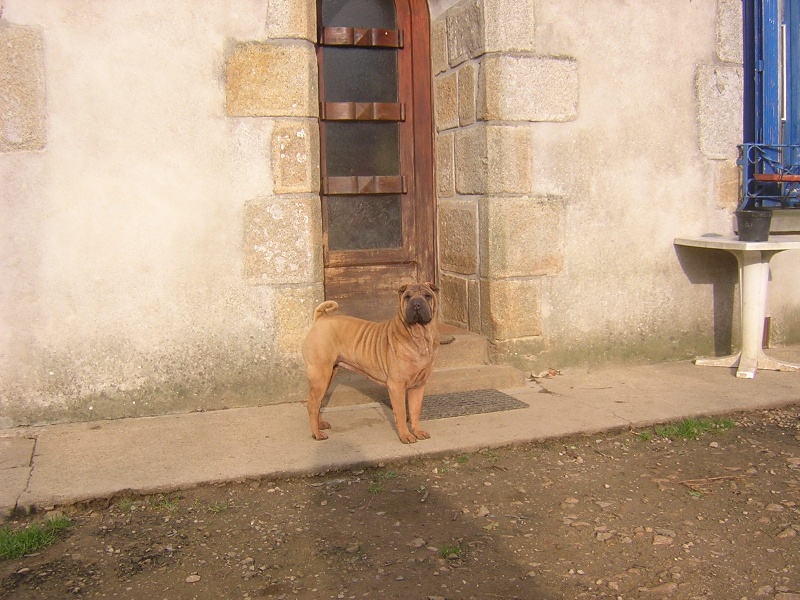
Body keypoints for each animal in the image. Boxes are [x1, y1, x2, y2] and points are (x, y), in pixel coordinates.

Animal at [302, 282, 440, 444]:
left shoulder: (418, 386)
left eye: (427, 295)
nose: (416, 305)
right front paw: (406, 436)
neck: (419, 335)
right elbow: (400, 412)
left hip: (328, 376)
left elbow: (415, 411)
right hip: (320, 375)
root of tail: (320, 319)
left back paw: (320, 424)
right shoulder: (396, 386)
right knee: (312, 404)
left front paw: (418, 432)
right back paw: (316, 433)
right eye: (407, 297)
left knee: (318, 403)